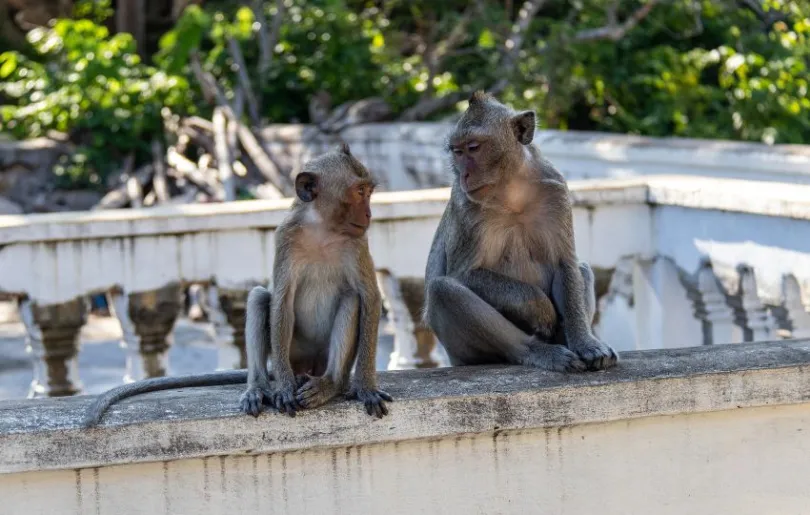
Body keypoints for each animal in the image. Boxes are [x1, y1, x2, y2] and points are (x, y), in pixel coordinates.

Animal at [83, 145, 392, 428]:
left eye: (368, 192)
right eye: (359, 192)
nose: (368, 215)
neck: (323, 230)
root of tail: (307, 367)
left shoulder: (358, 243)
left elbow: (370, 297)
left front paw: (365, 387)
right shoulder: (286, 237)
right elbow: (281, 300)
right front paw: (284, 389)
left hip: (321, 357)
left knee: (352, 299)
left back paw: (330, 384)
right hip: (291, 352)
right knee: (259, 298)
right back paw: (261, 387)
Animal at [420, 92, 616, 372]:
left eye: (473, 148)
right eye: (457, 151)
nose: (464, 175)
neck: (511, 192)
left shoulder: (556, 193)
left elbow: (565, 264)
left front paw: (586, 344)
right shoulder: (465, 208)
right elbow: (463, 273)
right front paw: (539, 308)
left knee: (582, 269)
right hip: (461, 351)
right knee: (442, 290)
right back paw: (536, 351)